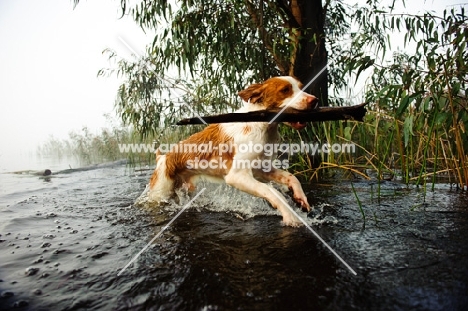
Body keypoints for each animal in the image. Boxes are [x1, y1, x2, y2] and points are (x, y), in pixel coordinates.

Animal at [146, 76, 318, 227]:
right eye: (285, 90)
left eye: (301, 87)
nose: (314, 100)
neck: (261, 125)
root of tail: (162, 158)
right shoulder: (237, 176)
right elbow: (271, 190)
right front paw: (290, 217)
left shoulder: (260, 169)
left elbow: (292, 177)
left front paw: (300, 198)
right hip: (160, 193)